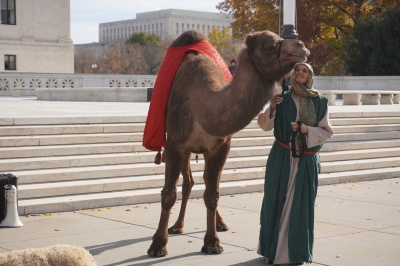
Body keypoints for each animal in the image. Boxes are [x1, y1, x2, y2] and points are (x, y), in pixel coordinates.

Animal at [147, 30, 310, 256]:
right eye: (269, 45)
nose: (300, 46)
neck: (200, 107)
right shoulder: (175, 143)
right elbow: (168, 193)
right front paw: (157, 245)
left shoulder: (221, 146)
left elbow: (212, 194)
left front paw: (212, 243)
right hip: (184, 148)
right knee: (188, 182)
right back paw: (177, 226)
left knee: (205, 182)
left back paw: (219, 224)